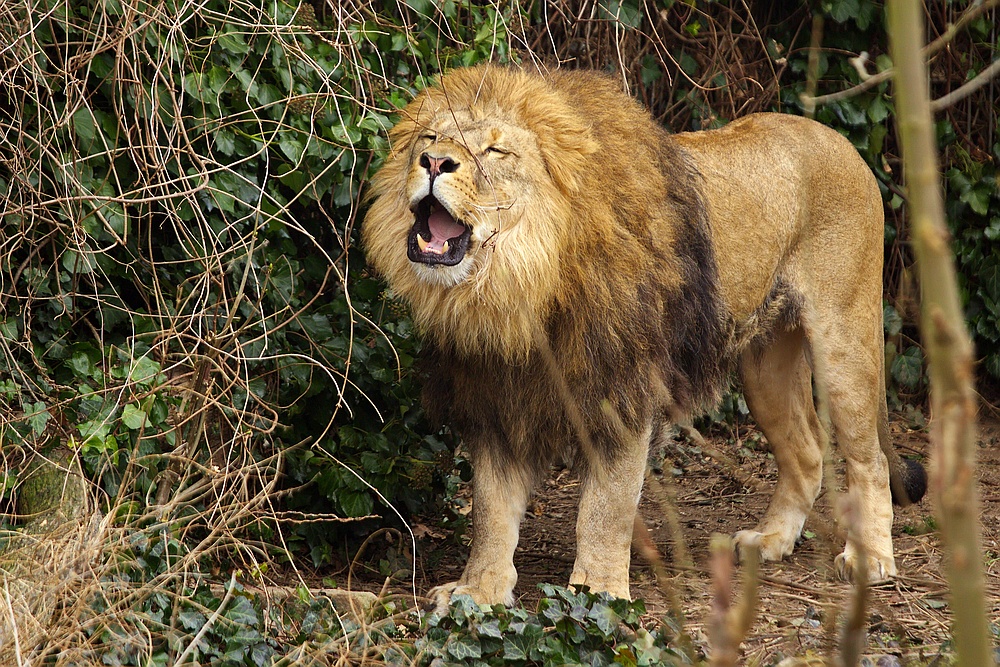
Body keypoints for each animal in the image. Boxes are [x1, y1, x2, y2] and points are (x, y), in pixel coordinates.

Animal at [362, 64, 928, 604]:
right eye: (429, 138)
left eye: (495, 150)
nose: (434, 163)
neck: (517, 289)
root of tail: (840, 140)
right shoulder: (498, 397)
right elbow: (491, 510)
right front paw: (477, 591)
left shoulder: (625, 390)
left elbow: (606, 507)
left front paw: (599, 594)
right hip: (764, 366)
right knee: (807, 449)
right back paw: (771, 541)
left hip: (844, 339)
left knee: (870, 459)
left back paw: (870, 559)